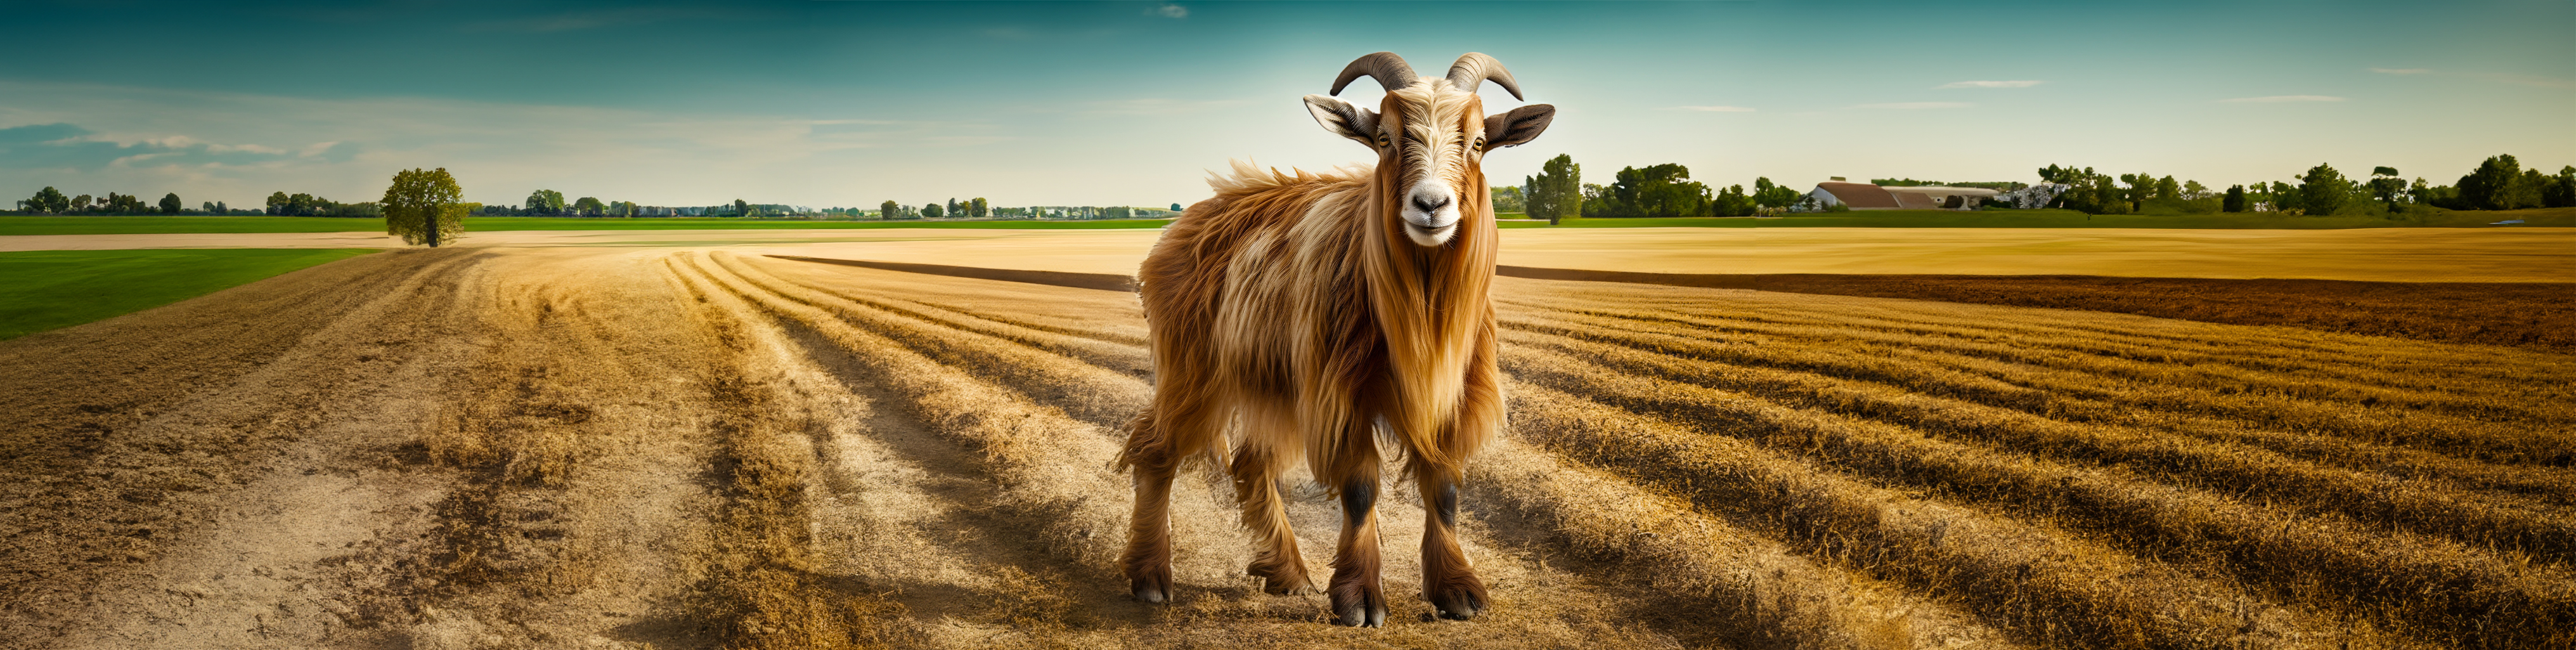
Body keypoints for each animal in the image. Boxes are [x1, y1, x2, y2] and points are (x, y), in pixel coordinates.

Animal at [1117, 51, 1555, 627]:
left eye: (1480, 142)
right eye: (1385, 139)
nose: (1430, 204)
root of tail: (1183, 223)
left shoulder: (1453, 394)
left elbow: (1444, 488)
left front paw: (1457, 589)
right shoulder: (1339, 390)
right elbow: (1360, 486)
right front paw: (1359, 597)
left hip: (1272, 383)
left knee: (1251, 462)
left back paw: (1287, 572)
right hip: (1193, 368)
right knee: (1155, 449)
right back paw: (1149, 575)